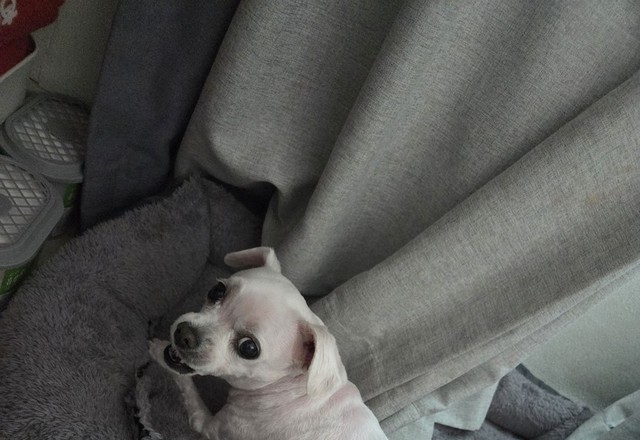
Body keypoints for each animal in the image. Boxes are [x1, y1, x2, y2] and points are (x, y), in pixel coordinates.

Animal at [149, 246, 388, 440]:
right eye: (216, 291)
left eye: (249, 348)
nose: (183, 334)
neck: (289, 389)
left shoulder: (209, 426)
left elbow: (186, 385)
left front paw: (157, 349)